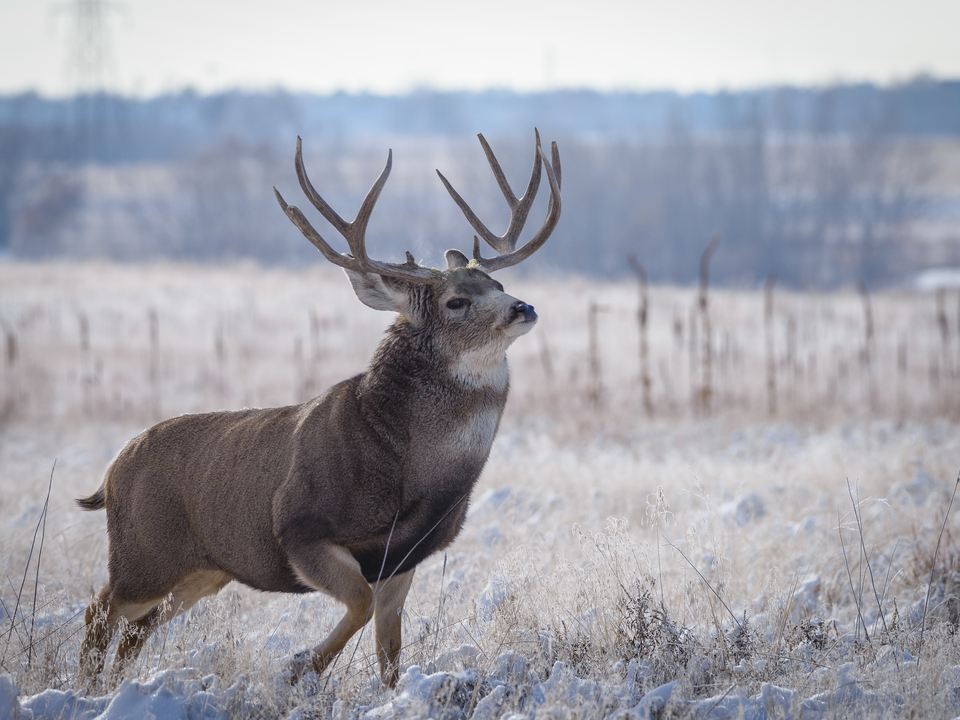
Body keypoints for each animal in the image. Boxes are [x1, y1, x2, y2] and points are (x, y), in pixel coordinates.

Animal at [76, 130, 561, 688]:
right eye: (456, 301)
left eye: (497, 286)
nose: (523, 306)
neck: (404, 466)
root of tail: (112, 471)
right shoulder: (299, 528)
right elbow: (360, 605)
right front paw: (297, 668)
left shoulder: (404, 557)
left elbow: (389, 650)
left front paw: (381, 692)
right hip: (144, 555)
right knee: (99, 610)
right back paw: (87, 686)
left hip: (203, 569)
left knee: (136, 628)